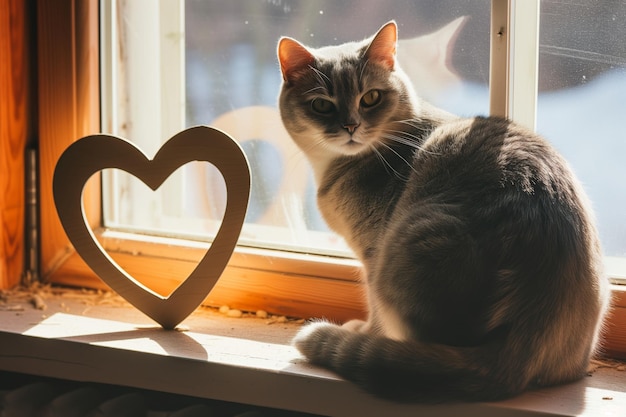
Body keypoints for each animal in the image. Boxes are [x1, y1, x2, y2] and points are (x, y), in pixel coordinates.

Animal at [276, 21, 608, 402]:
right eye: (321, 105)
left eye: (370, 98)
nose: (350, 126)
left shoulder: (373, 252)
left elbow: (374, 311)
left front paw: (366, 332)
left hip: (411, 243)